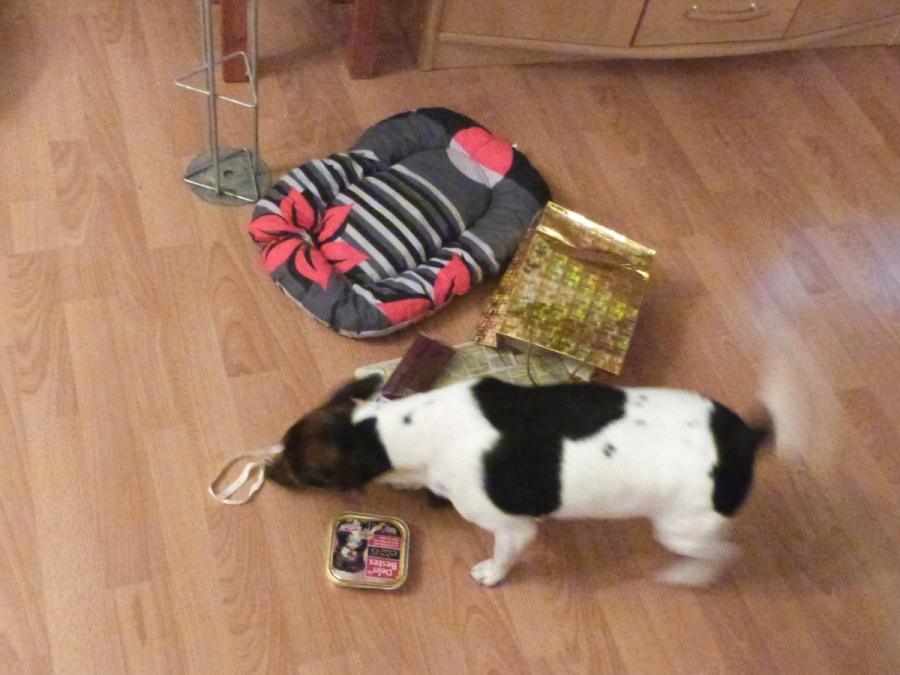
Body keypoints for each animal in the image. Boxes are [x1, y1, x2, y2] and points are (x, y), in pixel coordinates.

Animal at [267, 373, 786, 587]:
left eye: (305, 475)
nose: (268, 472)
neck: (384, 431)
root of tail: (745, 437)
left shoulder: (514, 528)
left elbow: (504, 556)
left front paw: (492, 575)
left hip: (683, 529)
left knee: (724, 554)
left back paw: (691, 576)